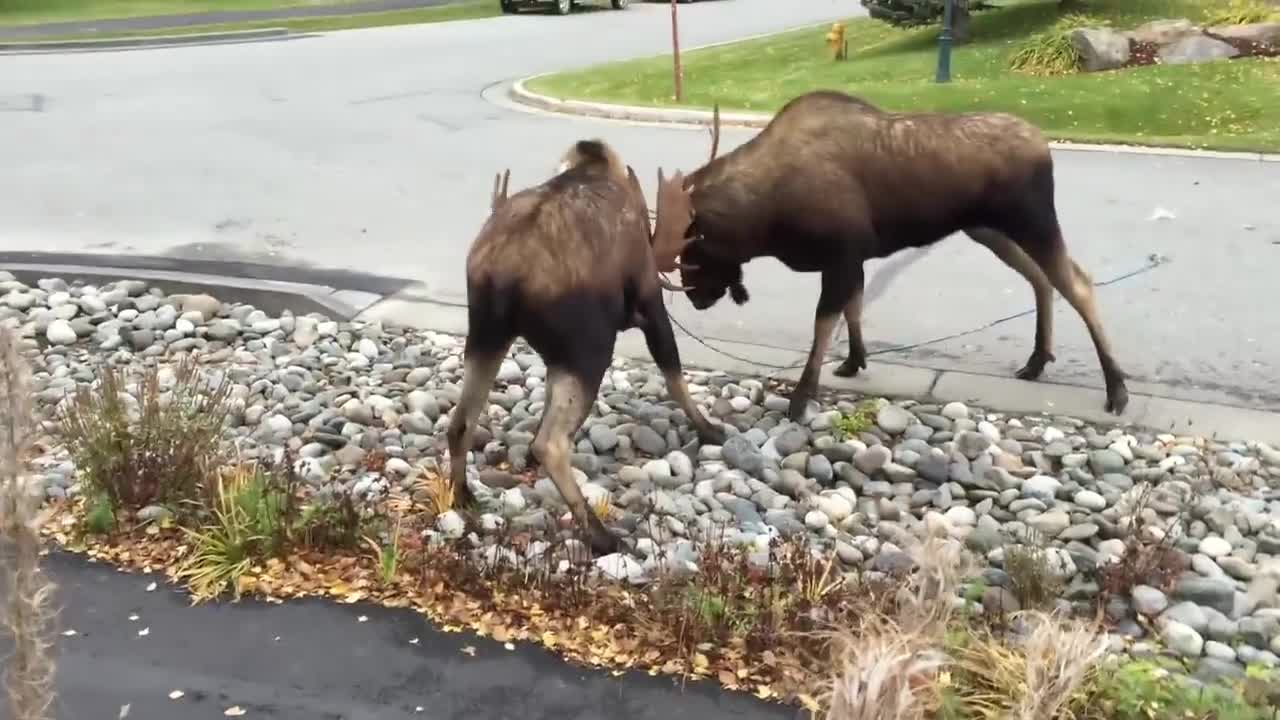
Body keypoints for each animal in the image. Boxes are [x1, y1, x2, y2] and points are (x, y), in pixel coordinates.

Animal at [448, 134, 732, 550]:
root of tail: (504, 273)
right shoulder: (648, 292)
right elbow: (673, 369)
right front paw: (710, 429)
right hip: (590, 345)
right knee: (551, 443)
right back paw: (601, 535)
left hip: (487, 332)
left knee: (461, 421)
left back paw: (462, 495)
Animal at [650, 88, 1131, 420]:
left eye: (692, 251)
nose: (696, 299)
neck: (764, 223)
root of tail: (1044, 146)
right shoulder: (852, 258)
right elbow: (853, 308)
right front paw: (853, 361)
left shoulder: (842, 253)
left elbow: (824, 322)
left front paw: (802, 398)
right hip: (988, 229)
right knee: (1040, 278)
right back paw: (1036, 361)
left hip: (1032, 221)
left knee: (1078, 283)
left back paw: (1116, 388)